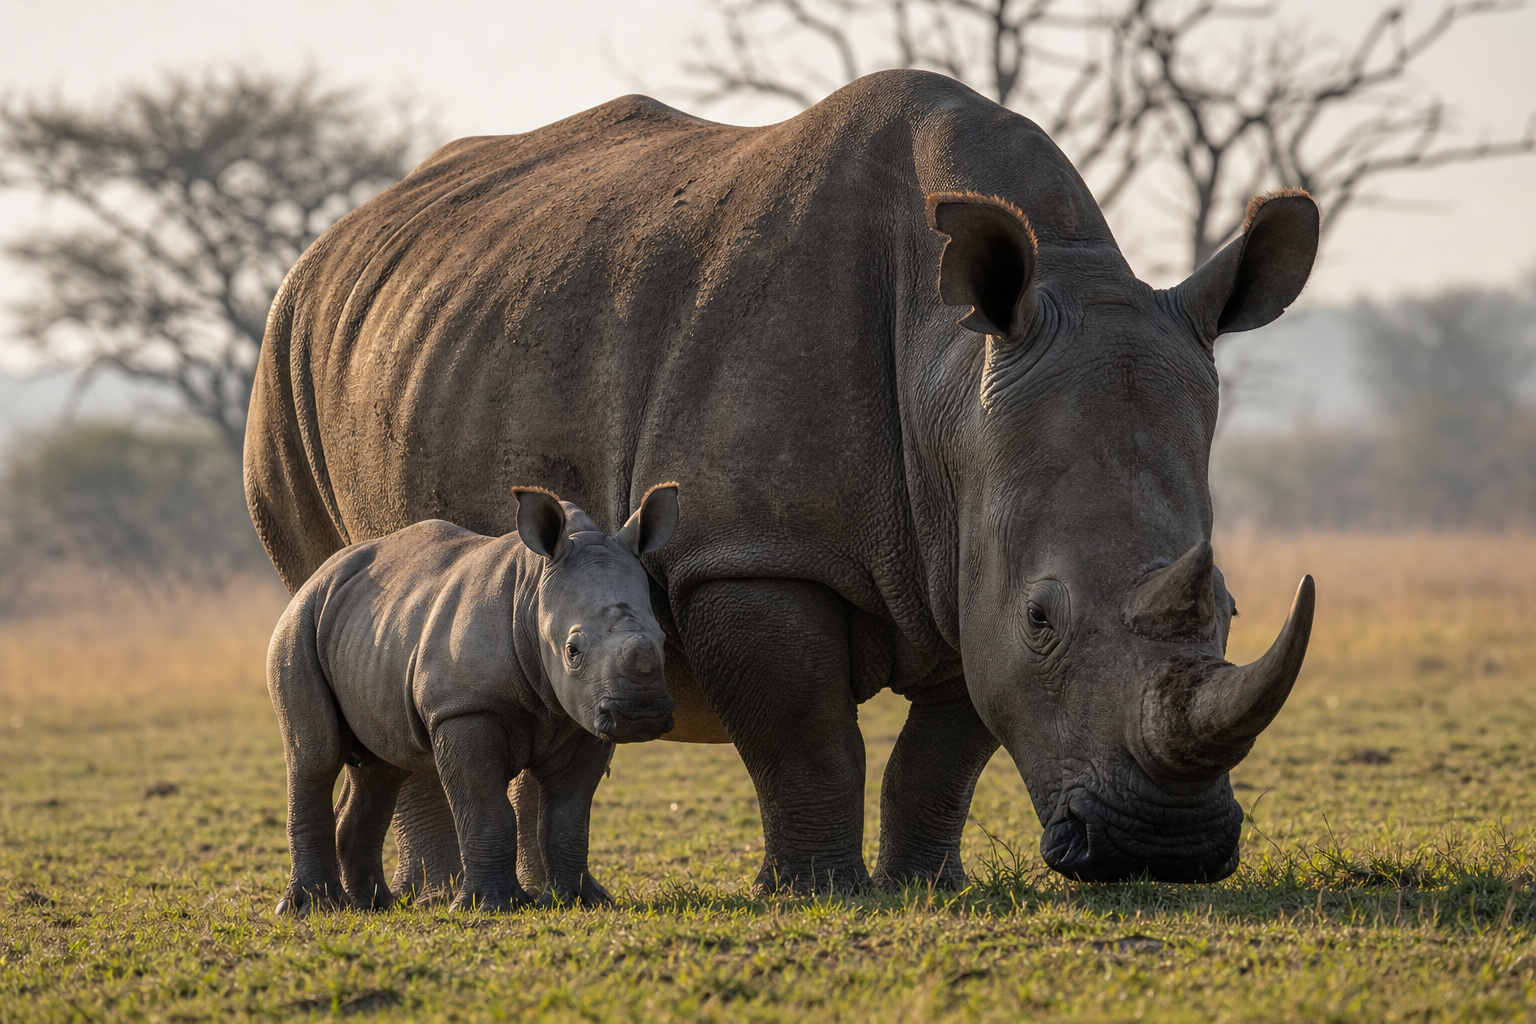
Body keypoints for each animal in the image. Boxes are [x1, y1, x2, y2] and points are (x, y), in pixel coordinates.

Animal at [267, 484, 679, 913]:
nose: (640, 714)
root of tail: (321, 573)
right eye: (572, 651)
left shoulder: (581, 714)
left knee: (380, 766)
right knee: (316, 756)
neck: (533, 594)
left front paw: (584, 901)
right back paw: (309, 908)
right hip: (298, 623)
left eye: (664, 639)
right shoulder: (463, 707)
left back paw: (372, 905)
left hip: (368, 627)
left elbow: (568, 814)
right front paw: (490, 905)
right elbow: (486, 810)